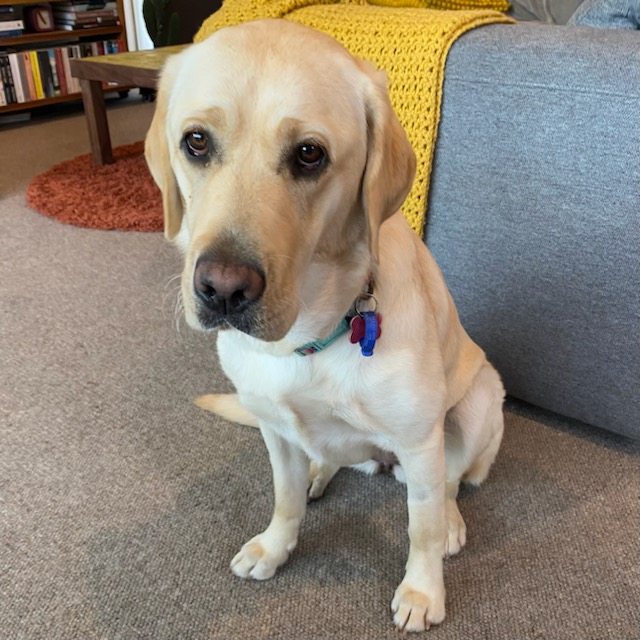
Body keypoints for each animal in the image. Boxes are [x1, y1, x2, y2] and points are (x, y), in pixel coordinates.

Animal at [145, 17, 504, 632]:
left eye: (309, 154)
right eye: (196, 141)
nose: (222, 289)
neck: (308, 335)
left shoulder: (420, 438)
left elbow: (422, 527)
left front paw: (422, 591)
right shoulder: (272, 425)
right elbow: (284, 498)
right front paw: (275, 546)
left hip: (480, 400)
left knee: (451, 483)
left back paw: (452, 519)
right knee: (332, 458)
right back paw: (319, 471)